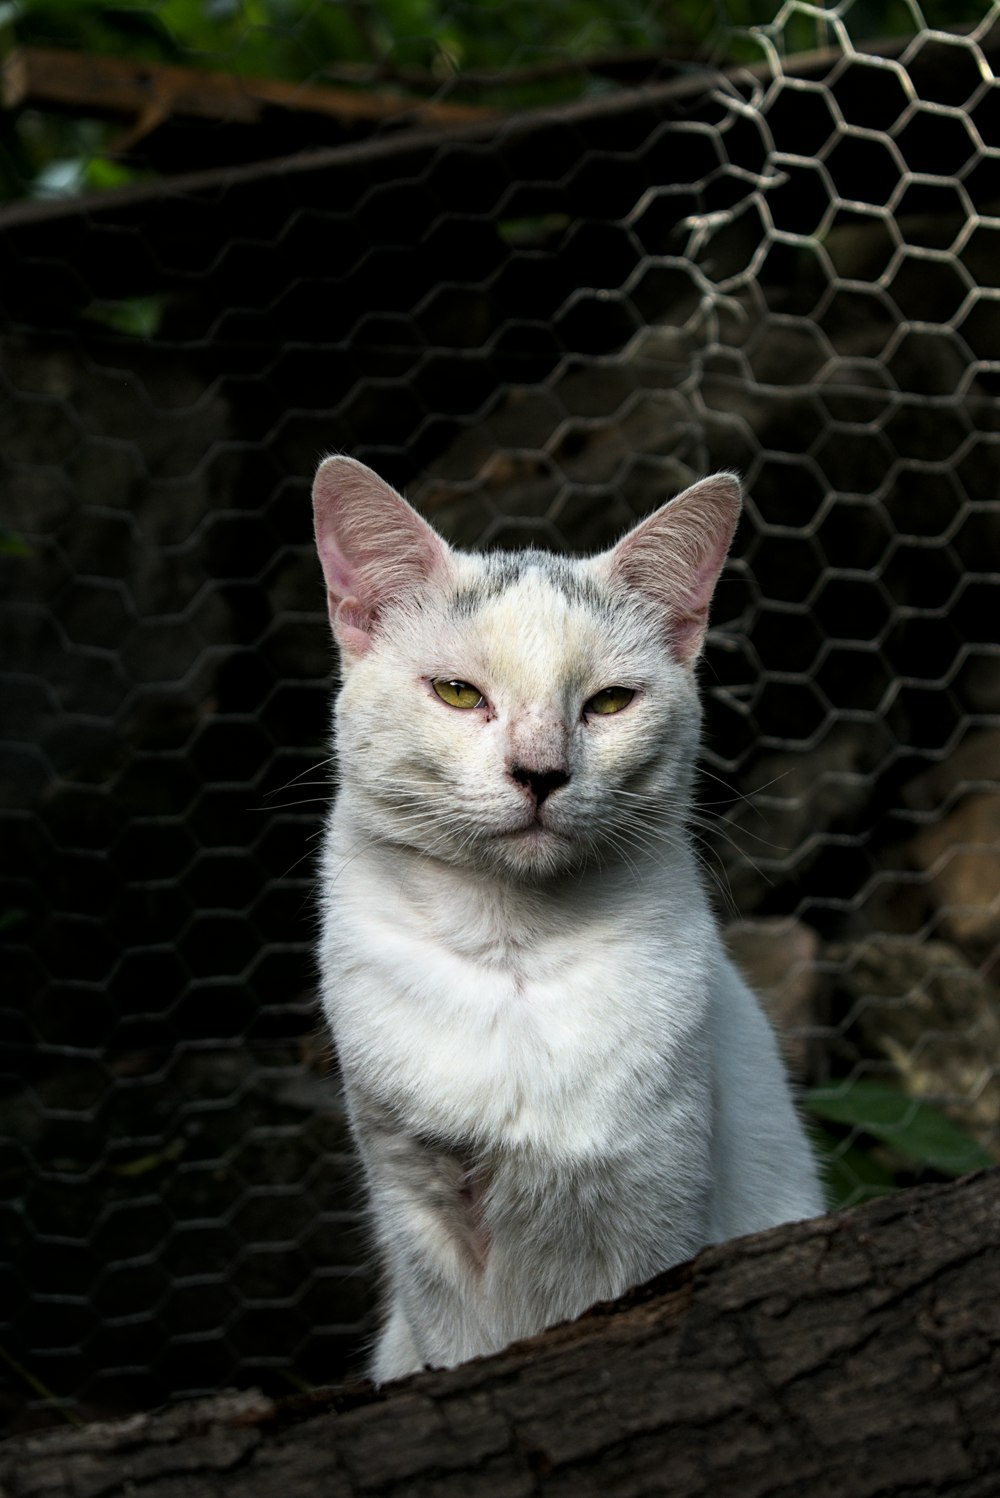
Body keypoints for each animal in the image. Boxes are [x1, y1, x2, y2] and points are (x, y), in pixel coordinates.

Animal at [309, 452, 820, 1378]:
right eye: (456, 692)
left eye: (610, 703)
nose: (540, 772)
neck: (513, 955)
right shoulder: (418, 1205)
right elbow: (455, 1348)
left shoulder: (657, 1202)